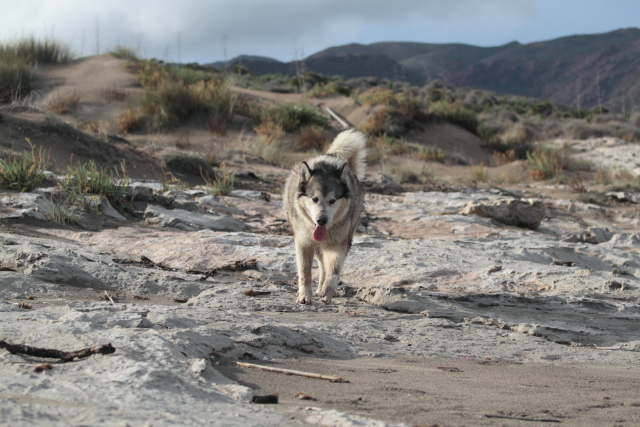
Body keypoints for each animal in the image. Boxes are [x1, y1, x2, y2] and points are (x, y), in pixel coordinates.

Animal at [284, 130, 368, 304]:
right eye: (315, 199)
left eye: (332, 200)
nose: (321, 220)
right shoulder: (304, 243)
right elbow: (305, 272)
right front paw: (304, 295)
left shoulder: (337, 244)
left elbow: (334, 270)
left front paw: (328, 291)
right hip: (317, 246)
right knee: (321, 265)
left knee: (325, 267)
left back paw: (323, 288)